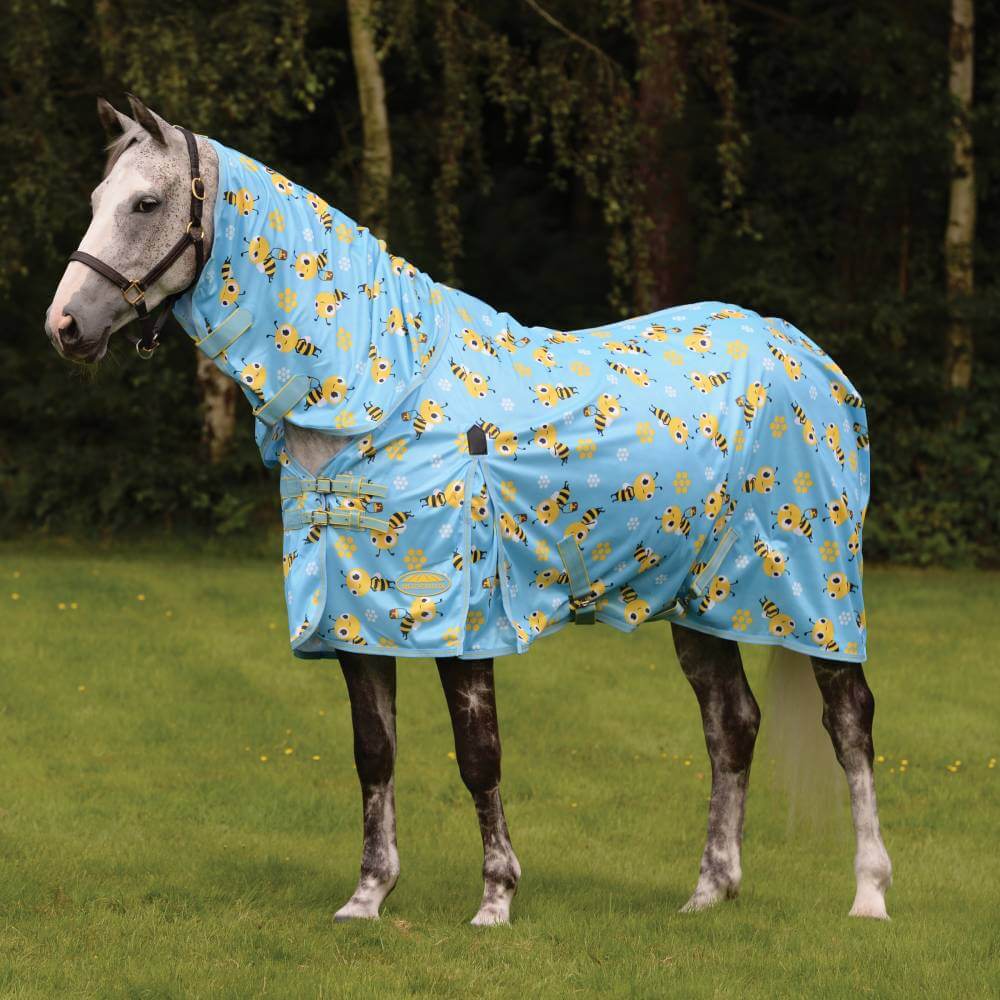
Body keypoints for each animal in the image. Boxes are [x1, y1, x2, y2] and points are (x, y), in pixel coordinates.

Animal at [44, 95, 892, 925]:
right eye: (95, 200)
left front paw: (495, 898)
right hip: (703, 600)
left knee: (850, 722)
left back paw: (869, 896)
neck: (379, 393)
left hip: (812, 597)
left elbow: (477, 754)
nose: (65, 326)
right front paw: (368, 895)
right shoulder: (354, 620)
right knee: (732, 725)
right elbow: (374, 753)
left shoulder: (463, 622)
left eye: (146, 203)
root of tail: (801, 351)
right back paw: (710, 890)